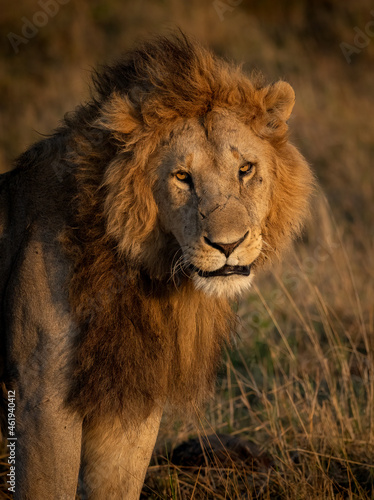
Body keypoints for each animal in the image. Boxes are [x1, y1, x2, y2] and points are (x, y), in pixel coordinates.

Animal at [0, 33, 314, 498]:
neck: (142, 277)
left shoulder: (133, 397)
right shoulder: (40, 397)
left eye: (245, 169)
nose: (228, 244)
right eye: (182, 177)